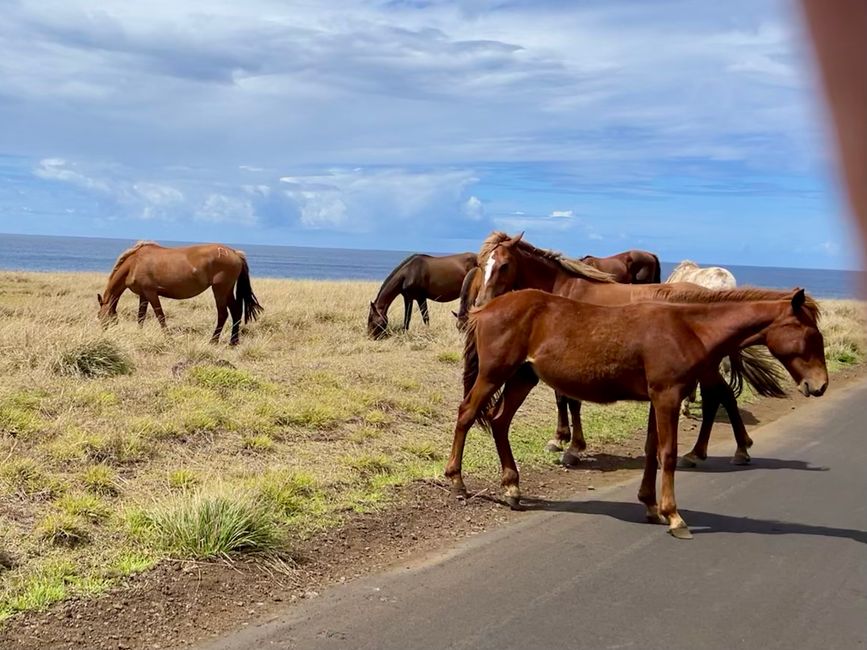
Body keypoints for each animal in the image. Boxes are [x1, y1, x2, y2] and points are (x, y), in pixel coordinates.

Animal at [97, 241, 263, 345]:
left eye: (101, 317)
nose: (104, 335)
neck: (135, 262)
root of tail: (235, 253)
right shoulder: (143, 295)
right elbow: (141, 317)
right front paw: (140, 334)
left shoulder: (151, 293)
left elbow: (160, 316)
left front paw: (169, 339)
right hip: (226, 290)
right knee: (236, 311)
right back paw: (233, 342)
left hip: (220, 289)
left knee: (223, 314)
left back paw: (213, 341)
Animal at [447, 287, 827, 539]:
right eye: (809, 334)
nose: (819, 385)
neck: (689, 329)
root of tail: (486, 309)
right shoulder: (667, 396)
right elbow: (667, 453)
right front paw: (674, 517)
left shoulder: (657, 399)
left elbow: (650, 450)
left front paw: (650, 506)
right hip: (495, 373)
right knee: (466, 414)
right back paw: (457, 482)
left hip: (522, 377)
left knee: (499, 422)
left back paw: (512, 488)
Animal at [475, 232, 787, 467]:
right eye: (481, 265)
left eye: (503, 265)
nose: (482, 303)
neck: (562, 292)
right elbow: (564, 399)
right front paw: (563, 440)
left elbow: (568, 400)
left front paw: (571, 446)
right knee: (719, 397)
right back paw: (716, 450)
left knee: (719, 396)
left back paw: (731, 450)